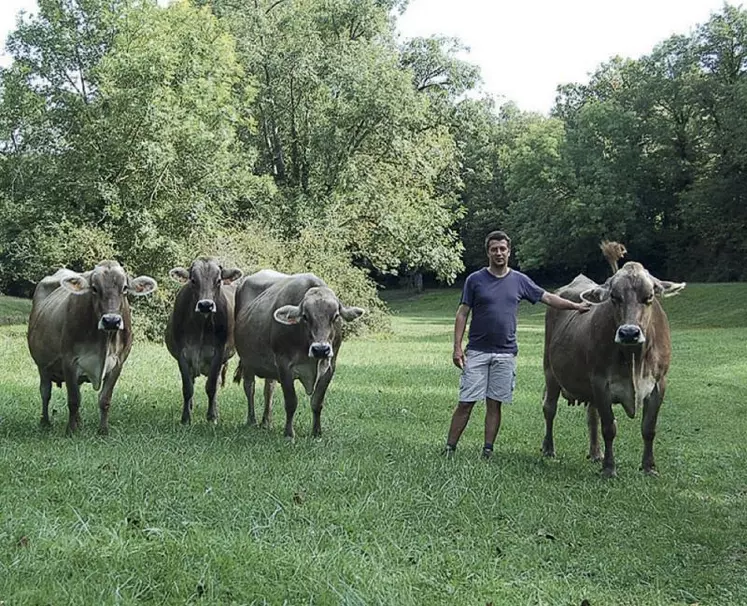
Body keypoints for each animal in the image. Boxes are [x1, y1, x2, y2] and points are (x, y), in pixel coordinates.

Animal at [27, 264, 158, 434]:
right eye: (94, 288)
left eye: (124, 288)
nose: (111, 321)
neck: (104, 342)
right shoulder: (69, 361)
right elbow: (73, 400)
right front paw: (71, 431)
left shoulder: (118, 364)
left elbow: (104, 399)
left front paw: (103, 431)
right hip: (42, 365)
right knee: (45, 392)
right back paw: (45, 422)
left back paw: (79, 421)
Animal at [166, 258, 243, 426]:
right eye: (193, 280)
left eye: (218, 280)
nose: (205, 305)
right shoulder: (183, 355)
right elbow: (187, 388)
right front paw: (185, 418)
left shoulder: (218, 354)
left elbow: (212, 386)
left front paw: (212, 416)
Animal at [232, 274, 364, 440]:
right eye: (305, 316)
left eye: (336, 316)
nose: (320, 349)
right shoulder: (284, 365)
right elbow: (291, 402)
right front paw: (289, 434)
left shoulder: (329, 367)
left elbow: (317, 402)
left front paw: (316, 432)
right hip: (247, 361)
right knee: (250, 388)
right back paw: (252, 421)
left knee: (269, 389)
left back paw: (266, 422)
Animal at [540, 252, 688, 480]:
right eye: (614, 297)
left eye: (649, 297)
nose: (629, 333)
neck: (634, 359)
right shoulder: (600, 382)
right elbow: (609, 427)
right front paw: (609, 468)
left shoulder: (659, 383)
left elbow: (649, 428)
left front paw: (649, 466)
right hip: (550, 371)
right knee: (549, 408)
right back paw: (548, 448)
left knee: (591, 416)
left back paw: (595, 452)